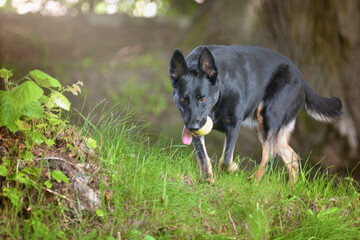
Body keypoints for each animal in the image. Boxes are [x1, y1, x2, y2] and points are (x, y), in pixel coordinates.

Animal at [170, 45, 342, 184]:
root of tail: (302, 79)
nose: (192, 127)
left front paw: (232, 169)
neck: (220, 90)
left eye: (203, 98)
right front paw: (207, 180)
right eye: (183, 99)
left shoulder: (233, 124)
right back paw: (290, 192)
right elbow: (203, 158)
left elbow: (225, 160)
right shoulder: (198, 128)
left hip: (268, 118)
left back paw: (254, 180)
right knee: (292, 159)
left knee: (270, 158)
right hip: (267, 129)